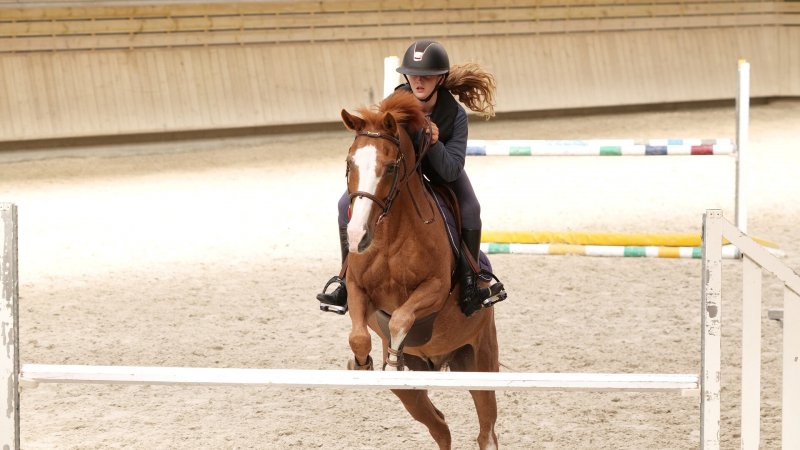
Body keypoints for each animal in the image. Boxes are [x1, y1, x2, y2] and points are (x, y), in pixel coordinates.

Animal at [340, 89, 500, 448]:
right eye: (349, 163)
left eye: (389, 167)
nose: (357, 237)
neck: (389, 237)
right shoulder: (357, 287)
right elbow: (358, 336)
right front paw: (361, 363)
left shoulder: (435, 289)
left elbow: (401, 317)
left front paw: (393, 358)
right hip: (411, 391)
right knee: (440, 425)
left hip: (479, 360)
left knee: (487, 429)